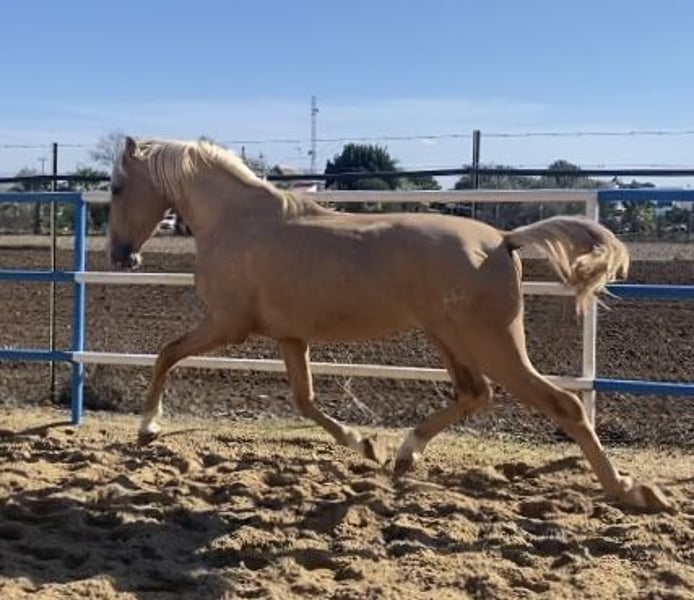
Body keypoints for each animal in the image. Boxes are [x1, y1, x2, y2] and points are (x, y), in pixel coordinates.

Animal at [106, 135, 669, 511]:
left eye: (115, 187)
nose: (120, 255)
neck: (236, 221)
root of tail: (504, 240)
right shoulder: (290, 336)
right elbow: (305, 400)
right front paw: (365, 444)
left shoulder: (227, 324)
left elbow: (167, 353)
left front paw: (147, 426)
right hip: (452, 339)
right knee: (473, 394)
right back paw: (403, 454)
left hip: (492, 343)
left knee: (563, 404)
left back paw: (631, 490)